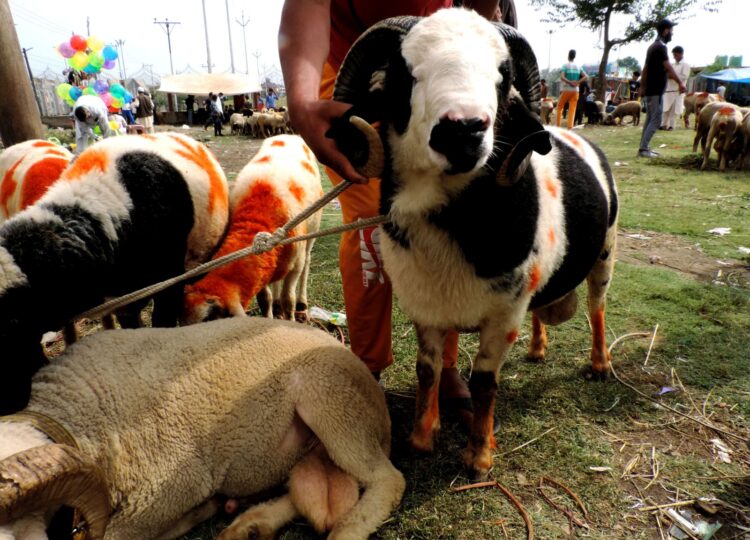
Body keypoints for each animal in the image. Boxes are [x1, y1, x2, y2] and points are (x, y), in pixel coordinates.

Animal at [0, 316, 405, 540]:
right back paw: (250, 526)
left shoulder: (172, 486)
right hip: (309, 449)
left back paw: (345, 532)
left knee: (388, 480)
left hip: (330, 398)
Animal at [182, 135, 323, 324]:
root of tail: (289, 135)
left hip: (311, 231)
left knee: (307, 263)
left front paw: (291, 318)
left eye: (209, 319)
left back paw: (302, 306)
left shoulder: (295, 265)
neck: (257, 218)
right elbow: (265, 299)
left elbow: (289, 300)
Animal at [328, 8, 618, 479]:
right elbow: (427, 369)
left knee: (597, 307)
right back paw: (537, 349)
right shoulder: (425, 304)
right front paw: (421, 438)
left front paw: (479, 457)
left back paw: (600, 364)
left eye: (503, 76)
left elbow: (484, 383)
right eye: (405, 74)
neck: (455, 219)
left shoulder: (504, 315)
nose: (462, 130)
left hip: (606, 252)